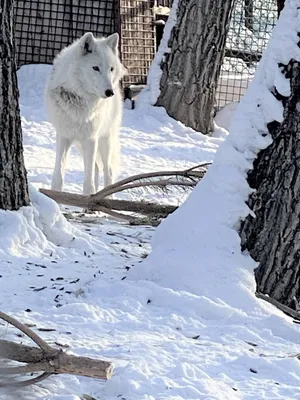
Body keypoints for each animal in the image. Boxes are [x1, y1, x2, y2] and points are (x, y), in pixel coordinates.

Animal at [44, 30, 125, 194]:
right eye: (95, 68)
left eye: (111, 69)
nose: (110, 92)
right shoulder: (63, 136)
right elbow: (59, 173)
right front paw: (55, 195)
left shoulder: (91, 138)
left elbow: (88, 180)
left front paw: (88, 195)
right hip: (80, 145)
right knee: (96, 167)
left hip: (104, 140)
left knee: (108, 170)